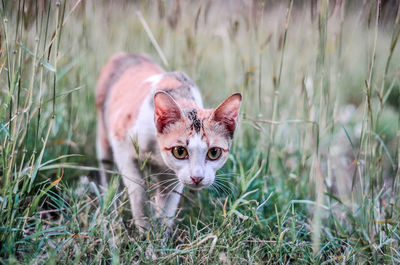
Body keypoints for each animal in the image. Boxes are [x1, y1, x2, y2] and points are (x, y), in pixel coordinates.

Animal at [95, 52, 242, 230]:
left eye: (214, 152)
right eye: (180, 151)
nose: (197, 178)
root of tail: (124, 54)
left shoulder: (173, 174)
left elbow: (168, 204)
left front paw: (161, 233)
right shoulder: (122, 144)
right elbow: (137, 191)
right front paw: (143, 228)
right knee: (106, 167)